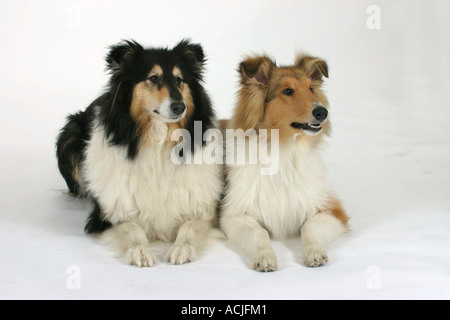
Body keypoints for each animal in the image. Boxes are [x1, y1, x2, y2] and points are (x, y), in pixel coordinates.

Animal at [220, 52, 350, 270]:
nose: (322, 112)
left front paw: (314, 252)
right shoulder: (234, 215)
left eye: (311, 88)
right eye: (287, 91)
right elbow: (259, 232)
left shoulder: (332, 210)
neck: (284, 149)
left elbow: (310, 227)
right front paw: (265, 257)